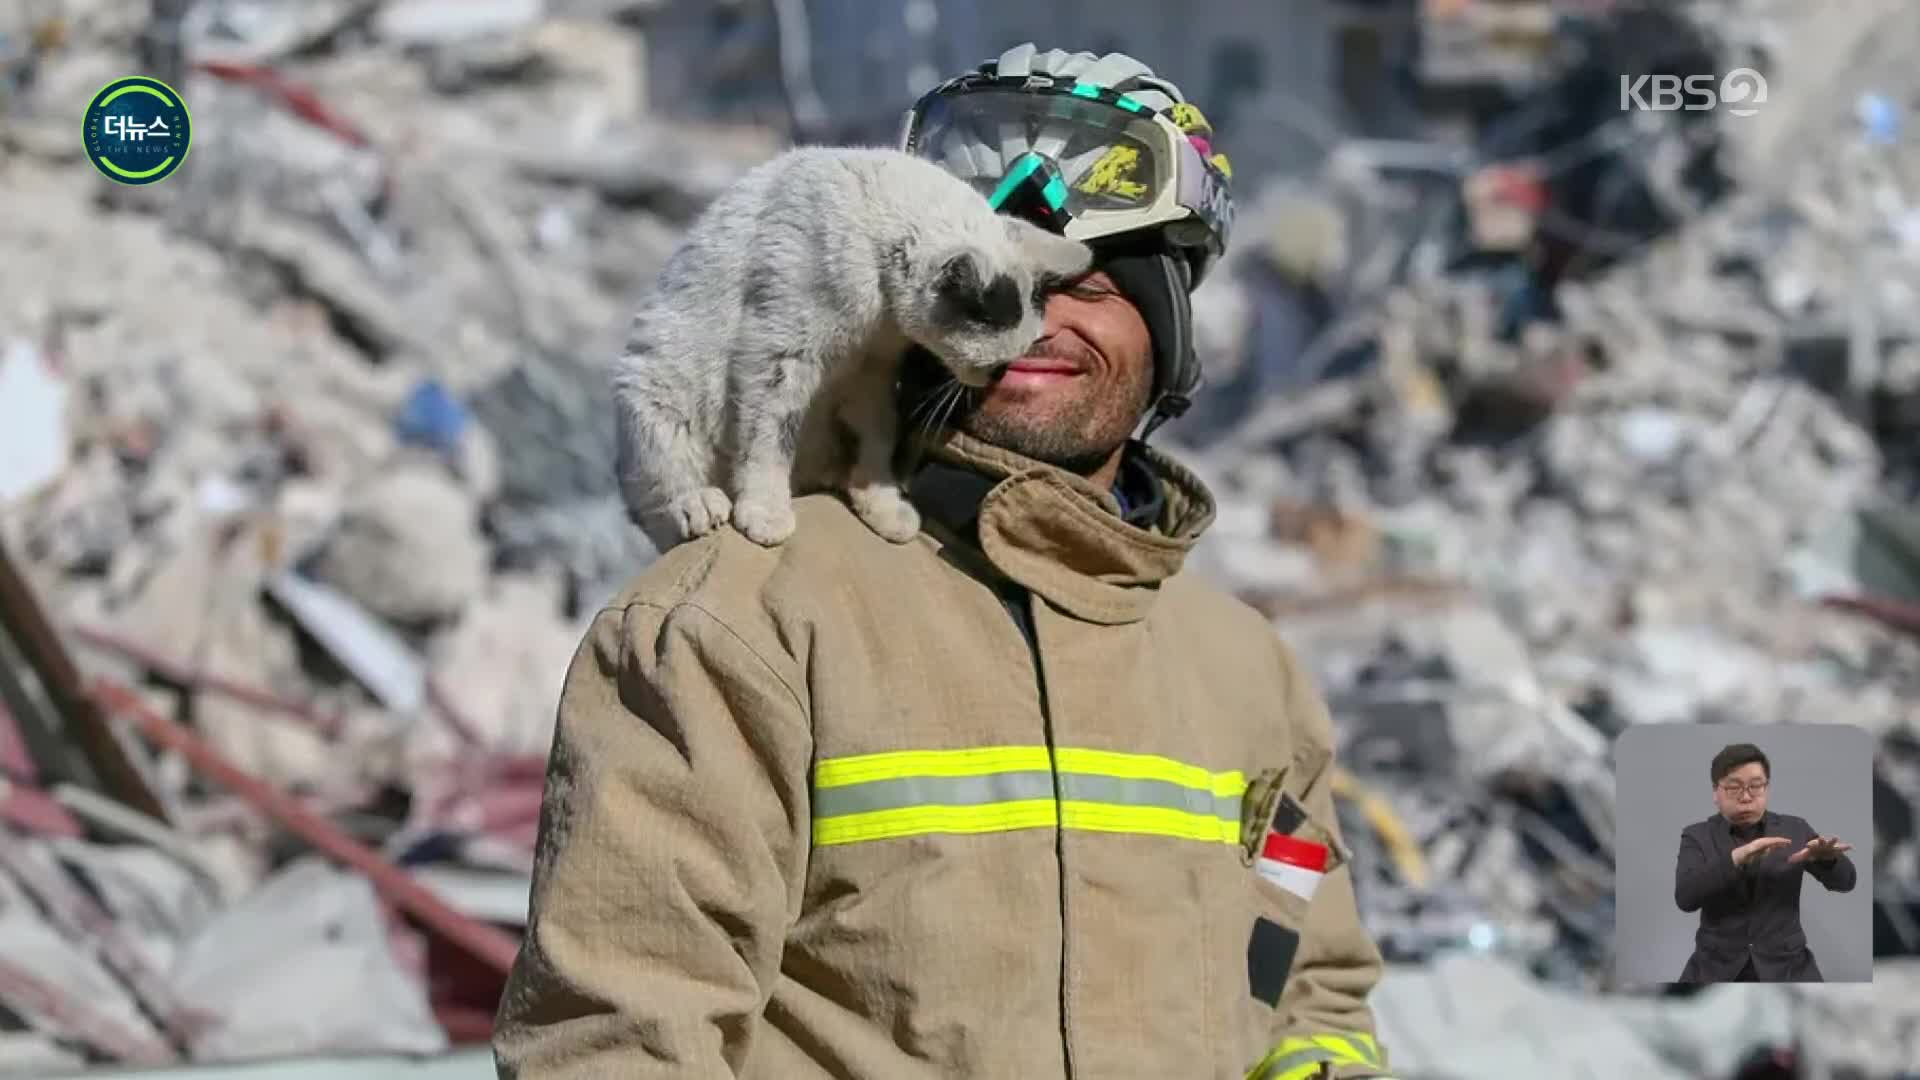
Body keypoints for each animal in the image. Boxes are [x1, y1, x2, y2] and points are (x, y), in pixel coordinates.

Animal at [614, 143, 1098, 545]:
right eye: (995, 365)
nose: (994, 379)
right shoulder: (777, 356)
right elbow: (769, 441)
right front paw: (765, 513)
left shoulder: (872, 375)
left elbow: (878, 441)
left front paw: (882, 504)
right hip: (653, 391)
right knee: (658, 494)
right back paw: (697, 504)